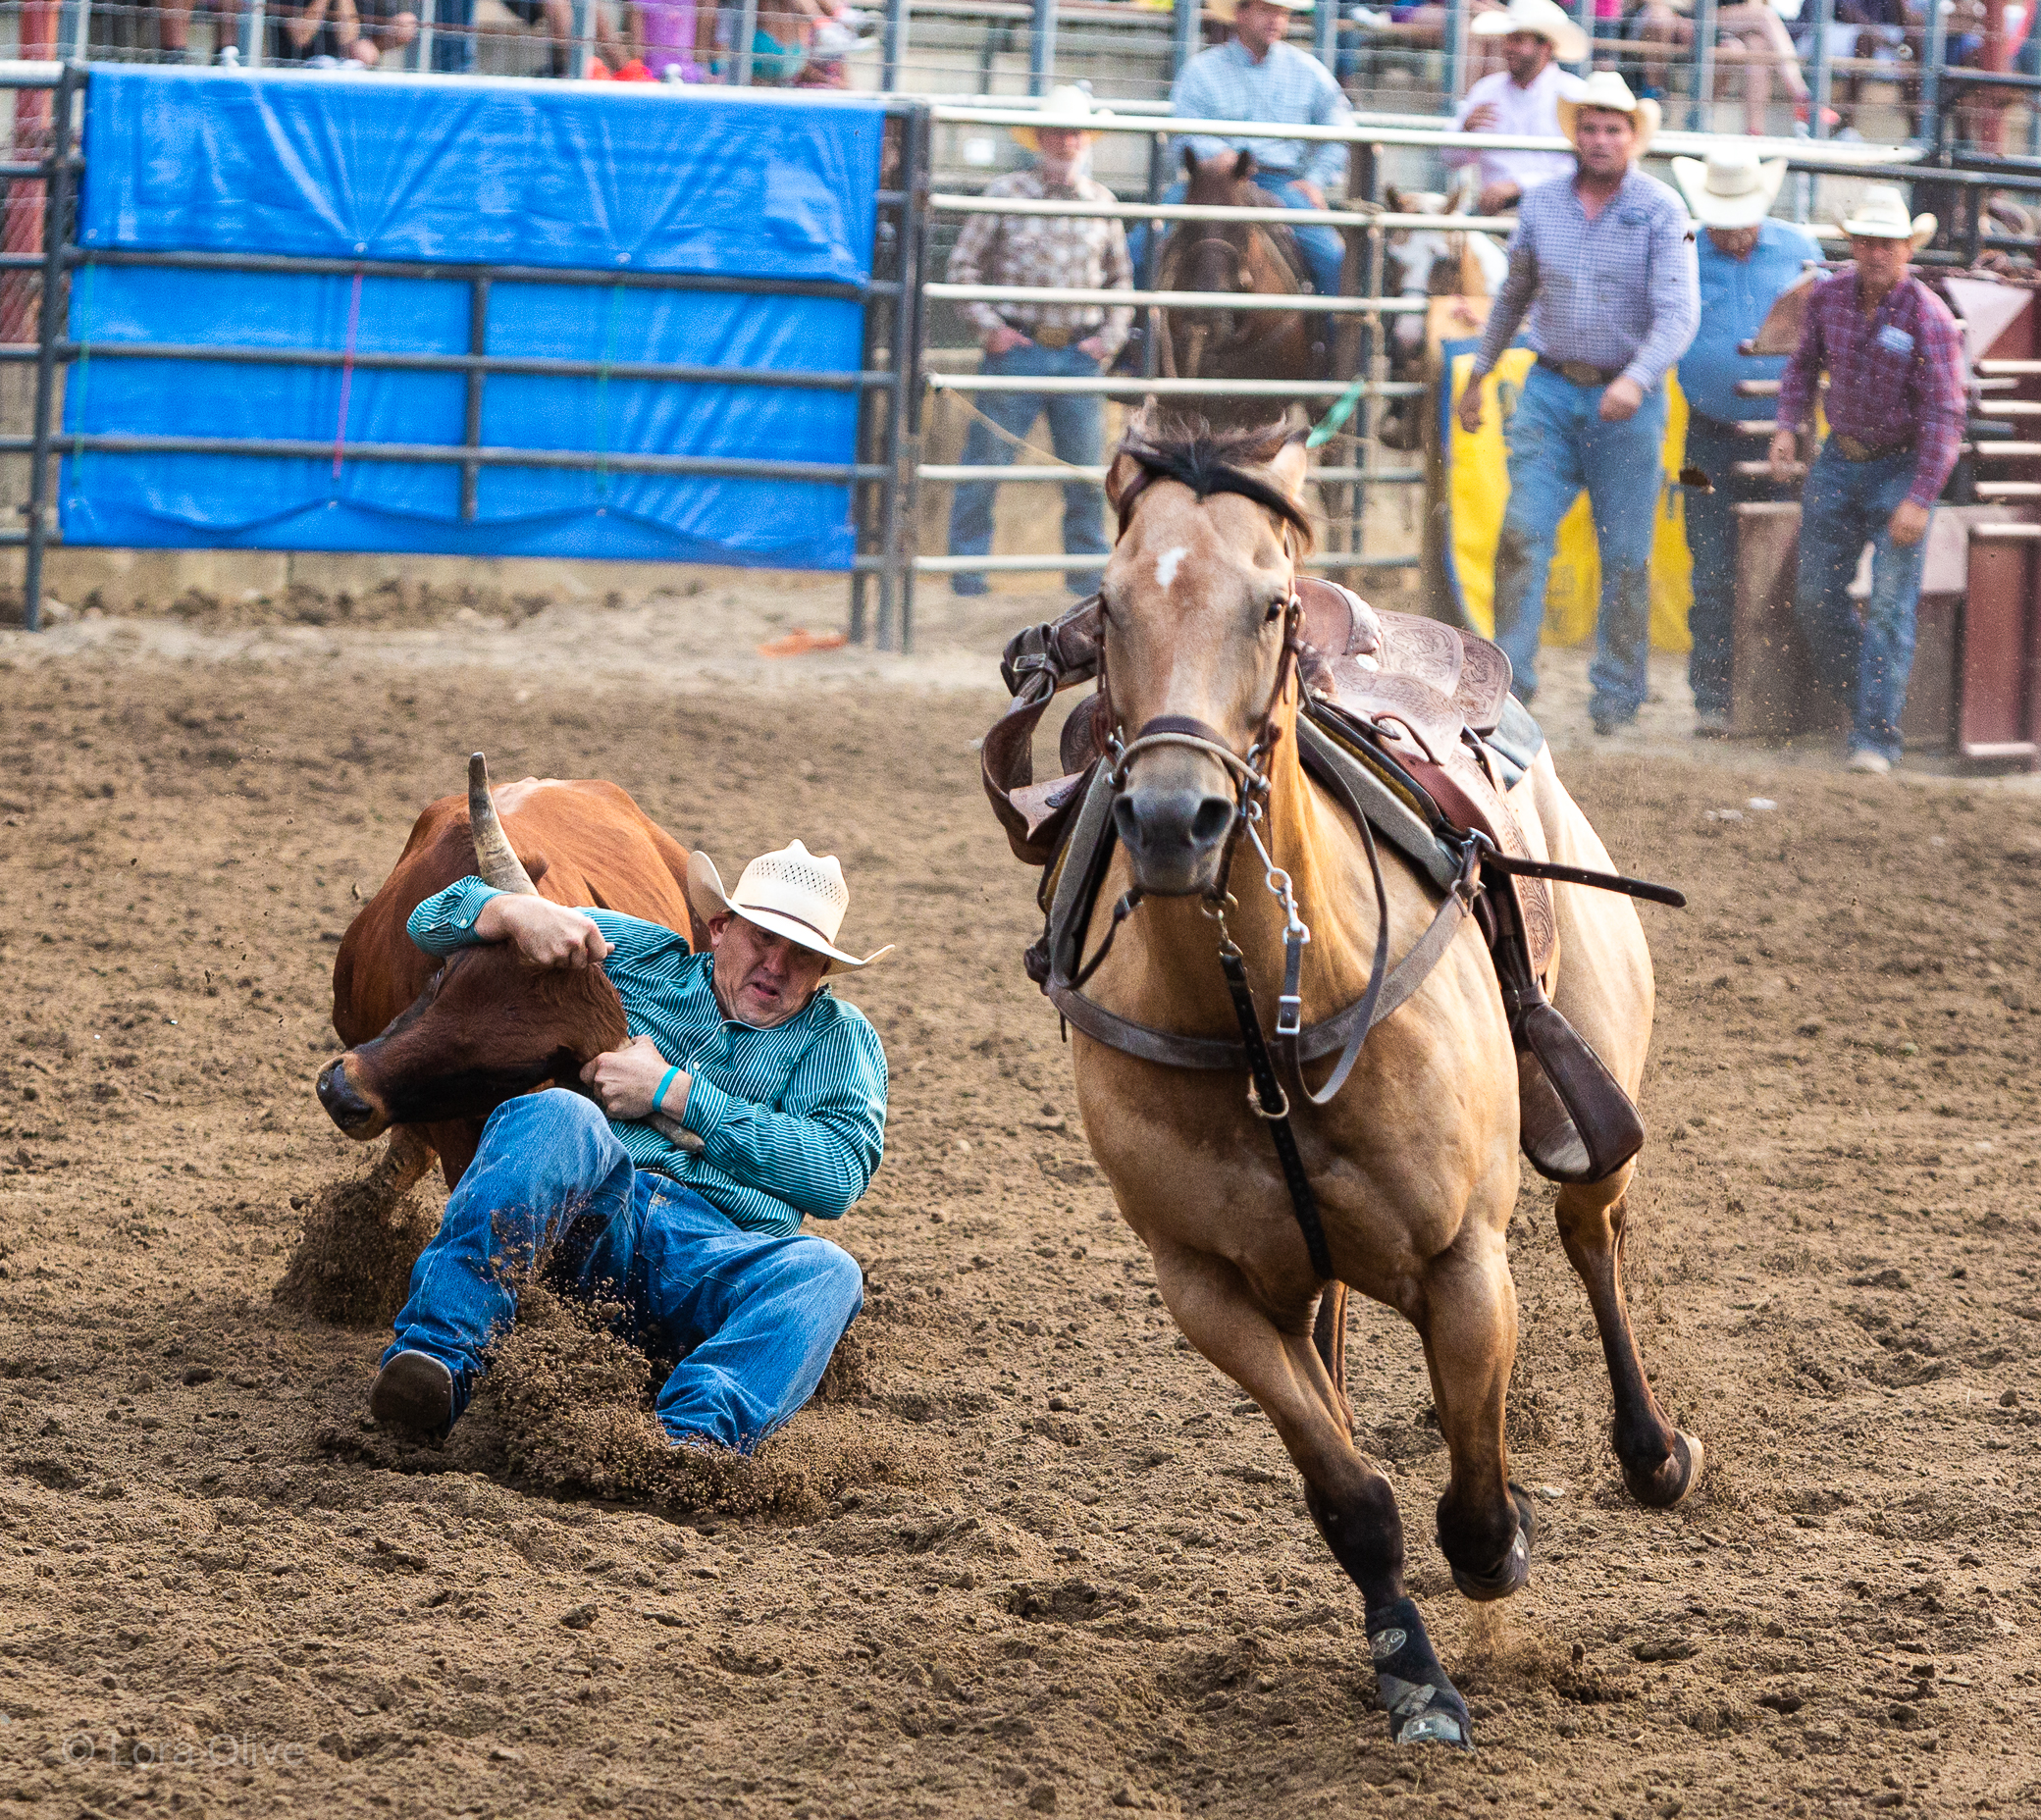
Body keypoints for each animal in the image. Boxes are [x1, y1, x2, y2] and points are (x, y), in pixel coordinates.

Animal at [979, 422, 1698, 1746]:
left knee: (1593, 1238)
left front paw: (1502, 1546)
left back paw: (1652, 1451)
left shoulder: (1464, 1261)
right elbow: (1351, 1493)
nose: (1176, 816)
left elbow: (1474, 1494)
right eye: (1108, 604)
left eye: (1269, 605)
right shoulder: (1206, 1288)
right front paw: (1413, 1673)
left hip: (1590, 1097)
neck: (1256, 1012)